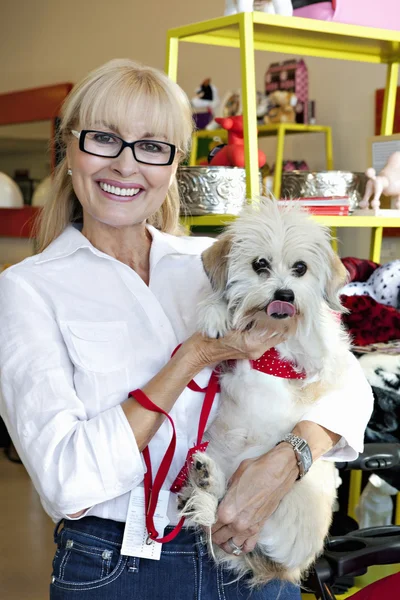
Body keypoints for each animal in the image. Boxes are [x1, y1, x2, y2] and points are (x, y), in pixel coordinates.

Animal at [180, 200, 352, 584]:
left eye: (300, 268)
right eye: (260, 264)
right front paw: (217, 314)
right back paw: (206, 478)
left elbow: (317, 336)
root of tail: (287, 569)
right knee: (219, 507)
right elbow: (219, 303)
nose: (285, 296)